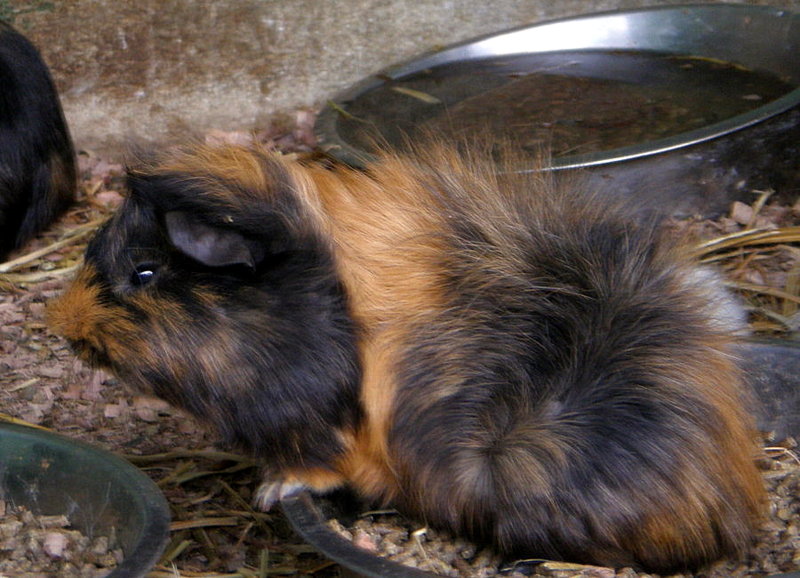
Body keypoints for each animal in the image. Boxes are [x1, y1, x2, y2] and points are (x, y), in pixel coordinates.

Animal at [47, 142, 765, 573]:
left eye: (143, 273)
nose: (62, 323)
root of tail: (731, 498)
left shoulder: (325, 432)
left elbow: (322, 465)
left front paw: (273, 490)